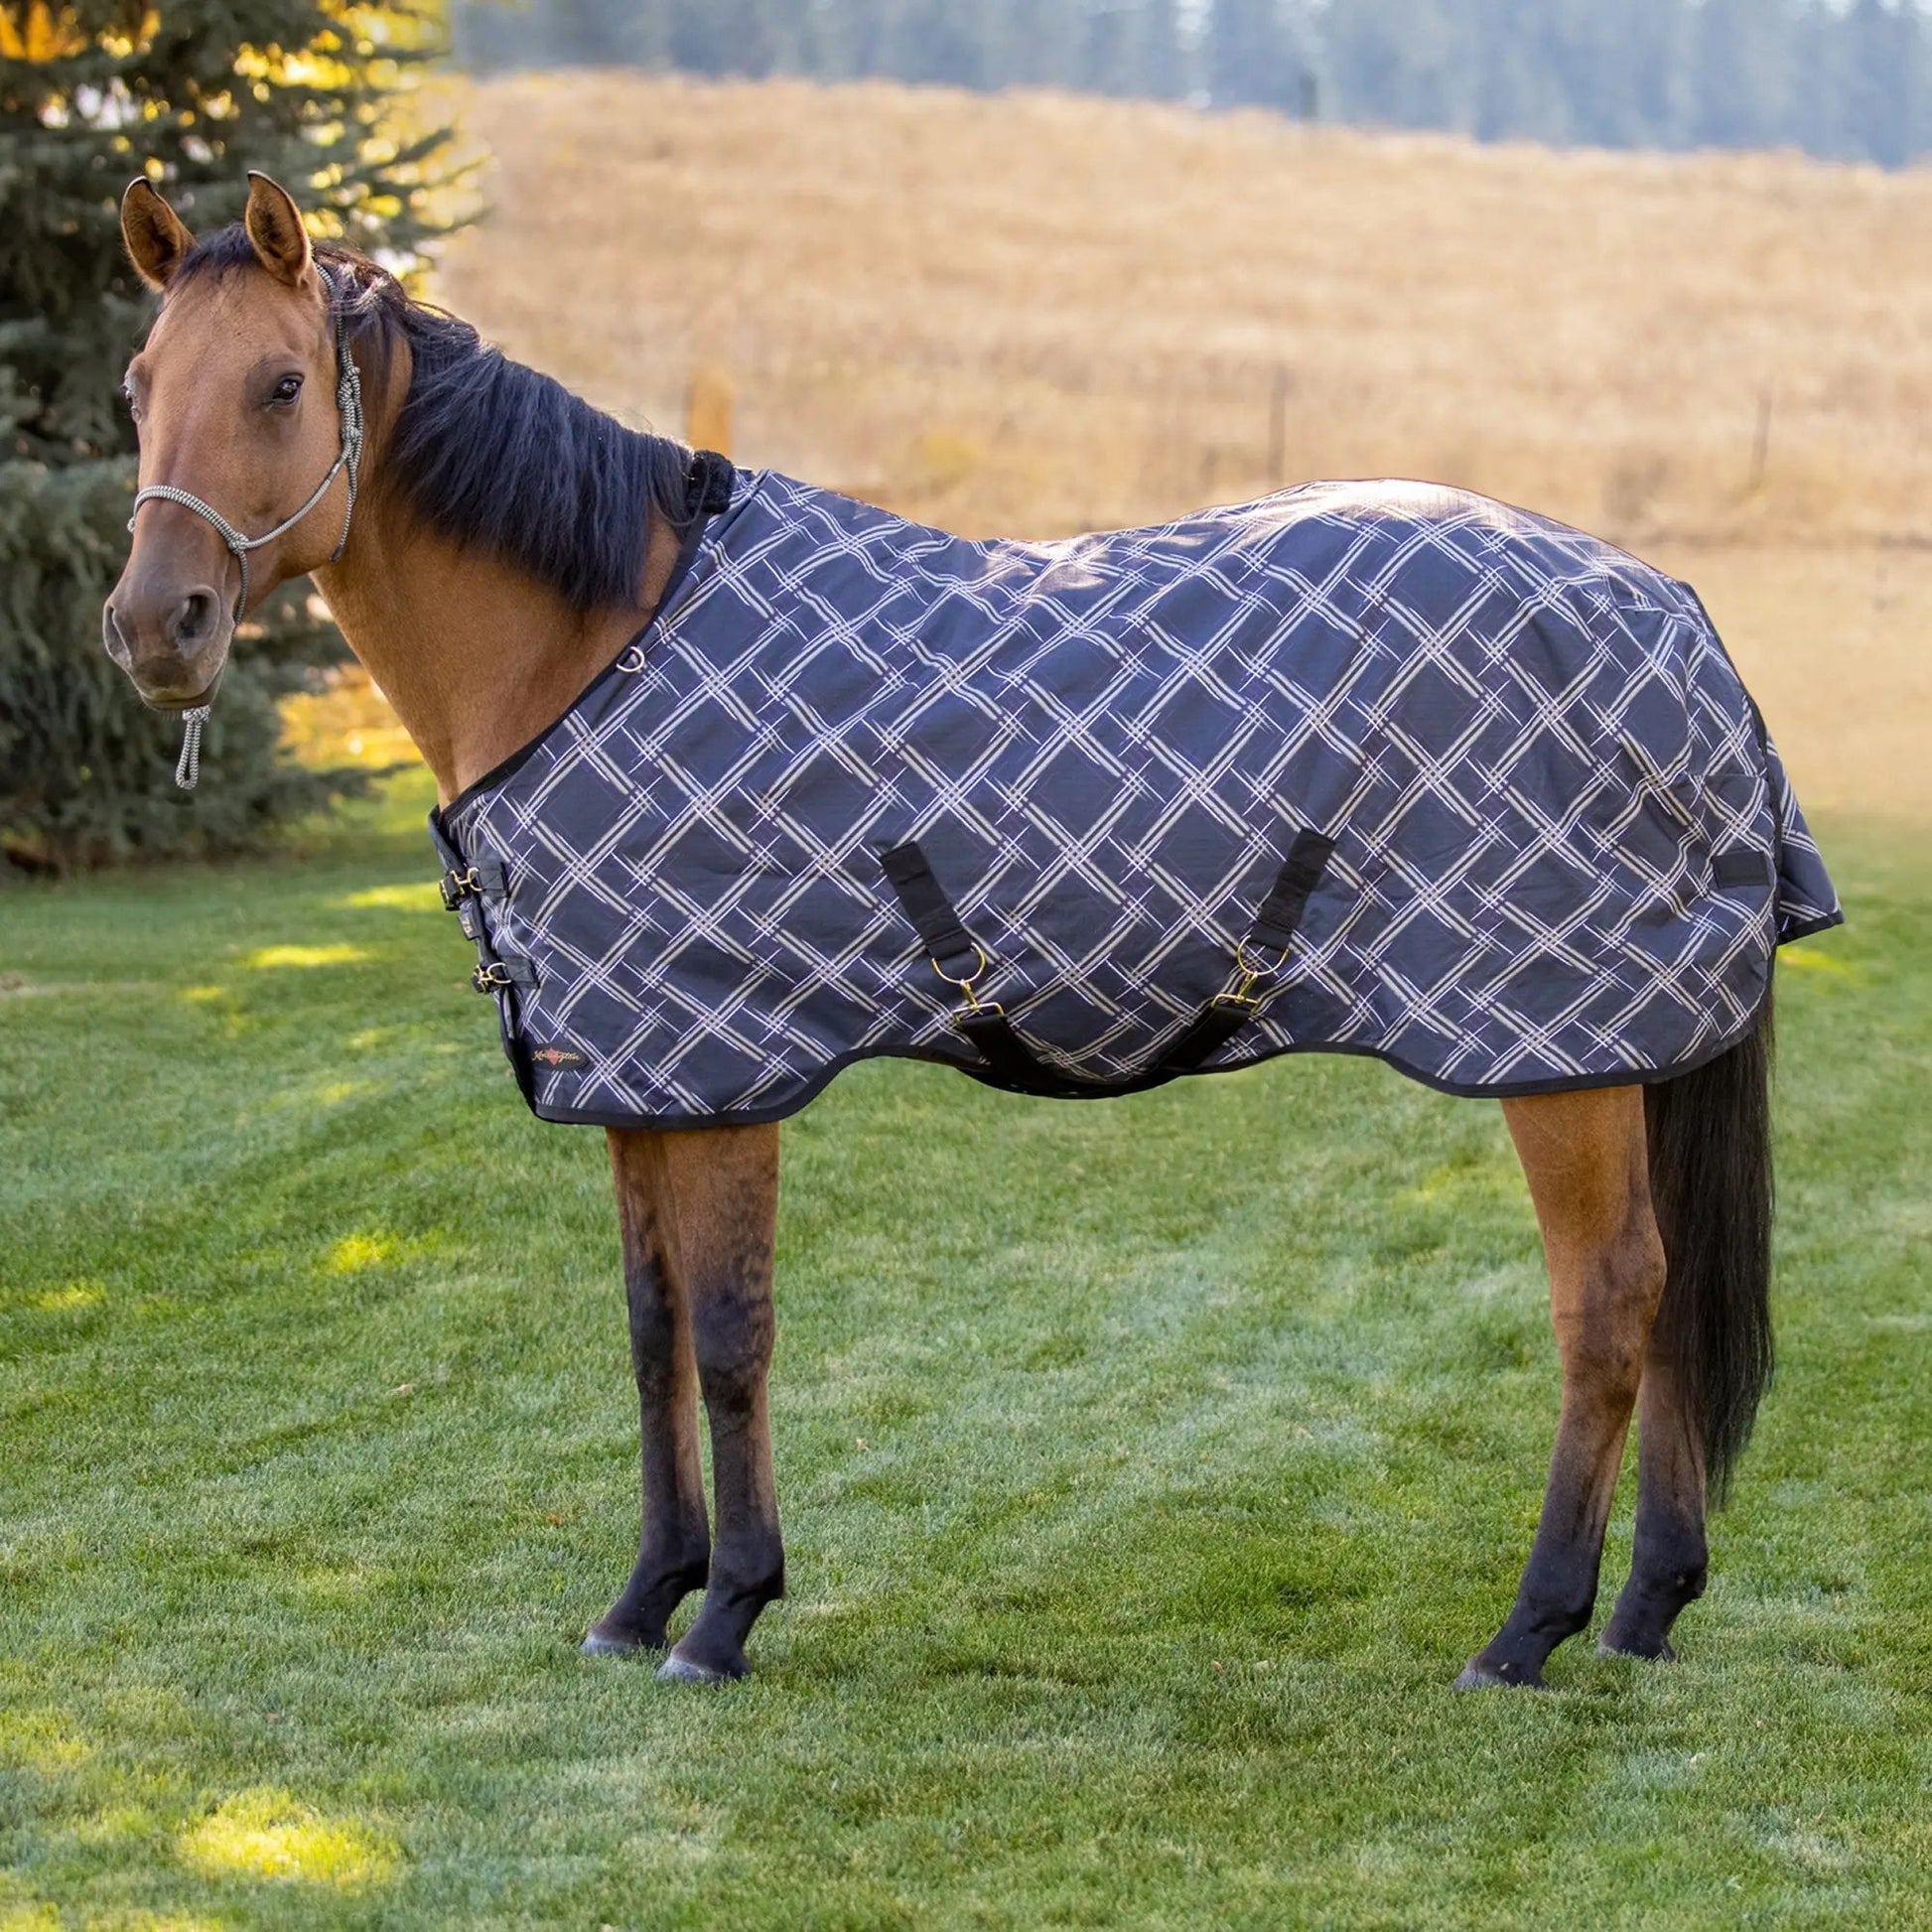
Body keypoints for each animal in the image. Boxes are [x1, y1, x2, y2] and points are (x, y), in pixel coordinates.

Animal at [104, 171, 1839, 1689]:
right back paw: (1643, 1609)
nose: (154, 628)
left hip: (1559, 1050)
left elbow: (729, 1335)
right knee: (1667, 1301)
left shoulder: (724, 1071)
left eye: (278, 384)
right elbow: (650, 1330)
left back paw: (1527, 1630)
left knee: (1606, 1304)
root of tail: (1679, 619)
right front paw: (641, 1594)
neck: (596, 639)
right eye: (136, 385)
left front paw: (725, 1613)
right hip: (1629, 1044)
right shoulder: (641, 1069)